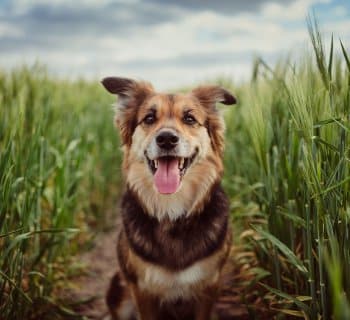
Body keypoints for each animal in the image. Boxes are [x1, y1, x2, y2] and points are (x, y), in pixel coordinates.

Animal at [102, 77, 237, 320]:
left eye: (190, 118)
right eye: (149, 118)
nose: (166, 139)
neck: (171, 212)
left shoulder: (208, 287)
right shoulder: (142, 291)